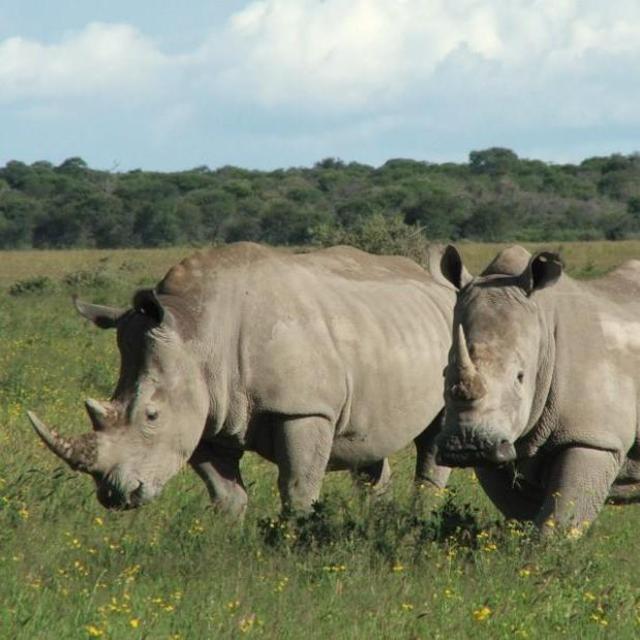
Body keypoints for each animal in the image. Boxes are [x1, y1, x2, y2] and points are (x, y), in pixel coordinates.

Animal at [28, 243, 454, 515]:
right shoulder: (205, 412)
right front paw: (228, 541)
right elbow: (226, 494)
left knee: (433, 441)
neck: (196, 331)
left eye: (151, 415)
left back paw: (420, 518)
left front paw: (297, 538)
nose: (115, 496)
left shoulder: (304, 409)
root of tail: (441, 288)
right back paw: (376, 521)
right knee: (368, 446)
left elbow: (298, 487)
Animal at [433, 244, 640, 531]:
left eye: (520, 377)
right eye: (444, 374)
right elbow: (521, 512)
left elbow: (561, 516)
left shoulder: (594, 437)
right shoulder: (500, 446)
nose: (466, 445)